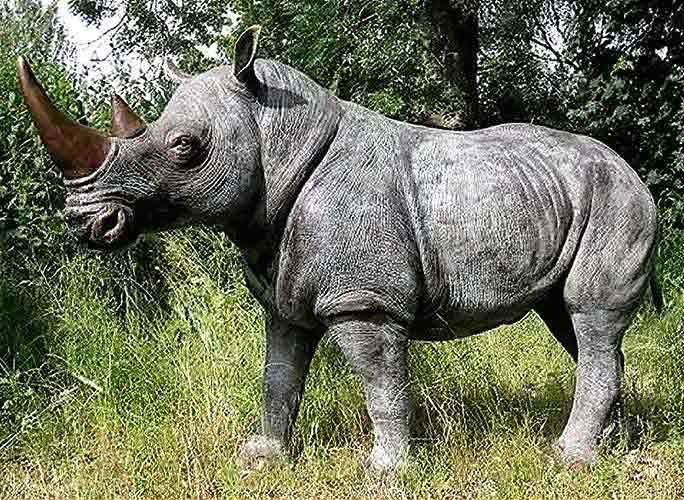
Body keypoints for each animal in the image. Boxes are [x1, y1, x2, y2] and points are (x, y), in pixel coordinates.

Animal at [17, 26, 661, 472]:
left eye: (185, 147)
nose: (84, 220)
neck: (277, 135)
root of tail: (634, 173)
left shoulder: (363, 301)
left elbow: (382, 386)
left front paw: (387, 471)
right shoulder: (283, 291)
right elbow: (279, 375)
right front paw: (263, 458)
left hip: (616, 198)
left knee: (590, 314)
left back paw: (568, 459)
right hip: (577, 195)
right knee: (574, 322)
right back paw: (613, 449)